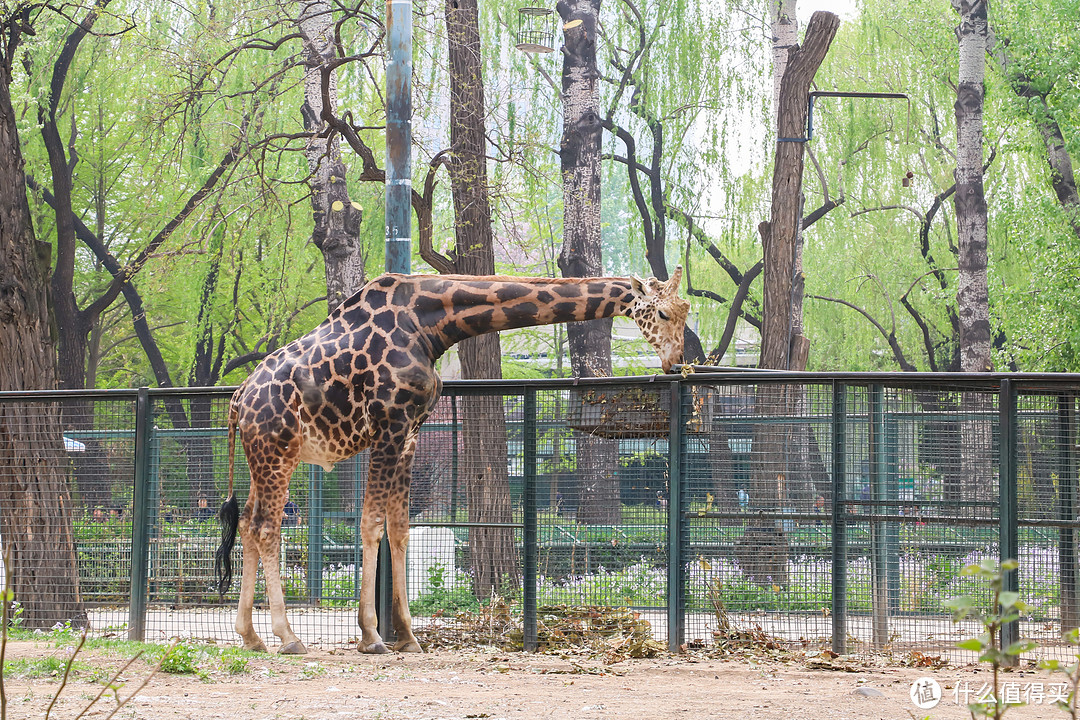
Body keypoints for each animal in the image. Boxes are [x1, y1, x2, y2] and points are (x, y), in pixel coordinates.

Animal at [217, 268, 691, 651]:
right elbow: (370, 524)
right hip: (278, 450)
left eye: (686, 310)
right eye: (664, 313)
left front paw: (408, 635)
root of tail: (238, 400)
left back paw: (251, 636)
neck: (431, 324)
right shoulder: (388, 426)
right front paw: (371, 636)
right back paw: (288, 637)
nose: (676, 362)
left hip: (266, 456)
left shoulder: (410, 432)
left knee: (248, 525)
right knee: (267, 528)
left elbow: (399, 529)